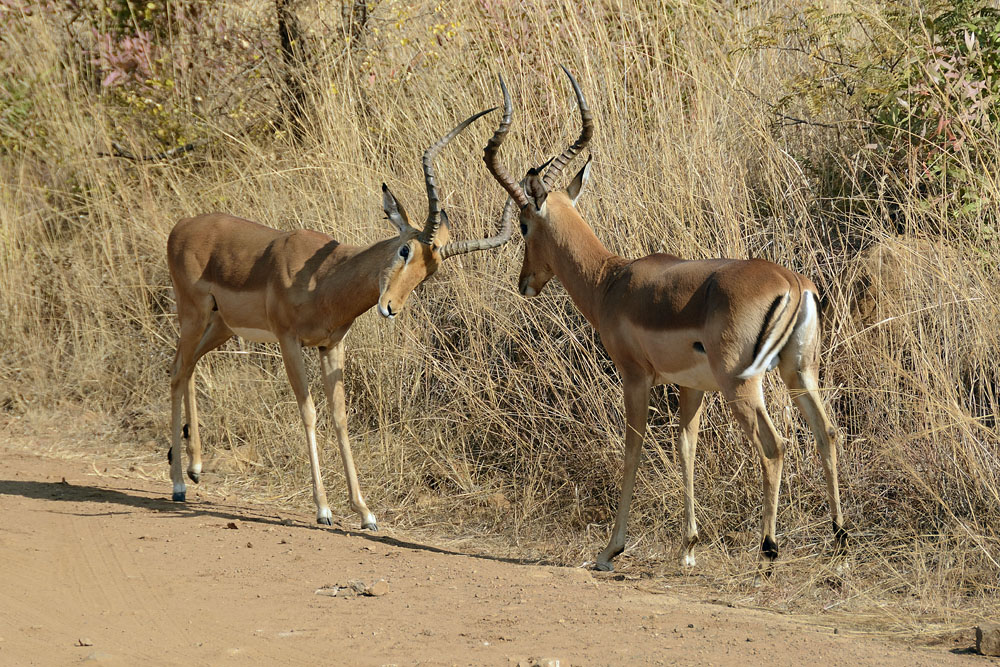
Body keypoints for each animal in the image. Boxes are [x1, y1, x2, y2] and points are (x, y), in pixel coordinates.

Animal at [166, 107, 512, 529]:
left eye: (429, 272)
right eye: (405, 250)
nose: (390, 307)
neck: (324, 279)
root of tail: (180, 227)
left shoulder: (331, 346)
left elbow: (341, 417)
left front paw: (365, 512)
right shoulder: (289, 342)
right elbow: (309, 412)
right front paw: (324, 509)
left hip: (220, 325)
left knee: (188, 367)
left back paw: (196, 467)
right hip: (193, 315)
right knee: (178, 370)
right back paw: (178, 485)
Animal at [483, 68, 846, 572]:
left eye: (522, 225)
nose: (525, 282)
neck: (611, 280)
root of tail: (792, 282)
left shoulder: (635, 377)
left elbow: (633, 450)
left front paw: (610, 550)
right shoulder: (690, 386)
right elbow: (685, 447)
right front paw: (688, 548)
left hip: (742, 383)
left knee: (774, 447)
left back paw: (769, 548)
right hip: (800, 371)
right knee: (827, 433)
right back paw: (840, 539)